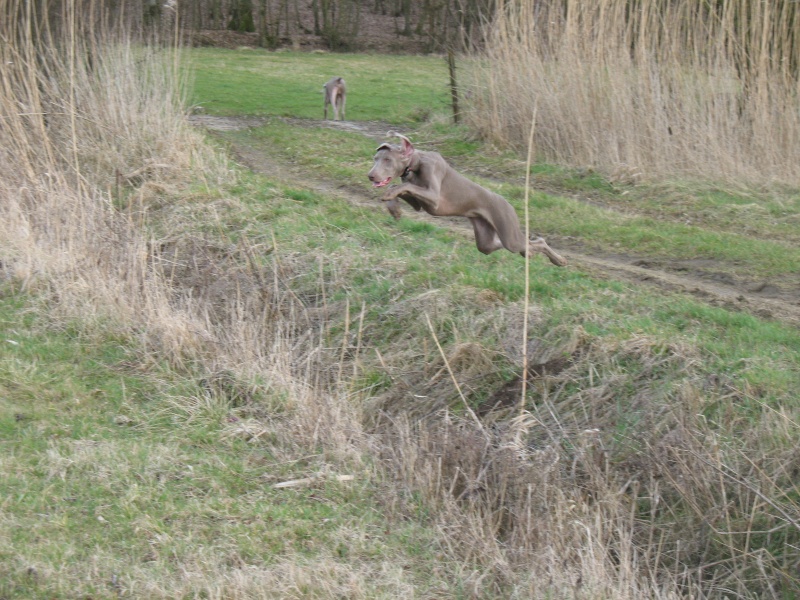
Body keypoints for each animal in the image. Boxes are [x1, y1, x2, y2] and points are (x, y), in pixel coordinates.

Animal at [368, 135, 568, 268]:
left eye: (388, 160)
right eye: (376, 158)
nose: (370, 175)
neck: (415, 164)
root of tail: (508, 203)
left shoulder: (434, 198)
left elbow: (403, 186)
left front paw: (390, 197)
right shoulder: (418, 202)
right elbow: (399, 187)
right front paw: (394, 209)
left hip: (509, 233)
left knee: (536, 241)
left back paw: (559, 260)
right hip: (485, 239)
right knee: (506, 246)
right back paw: (533, 255)